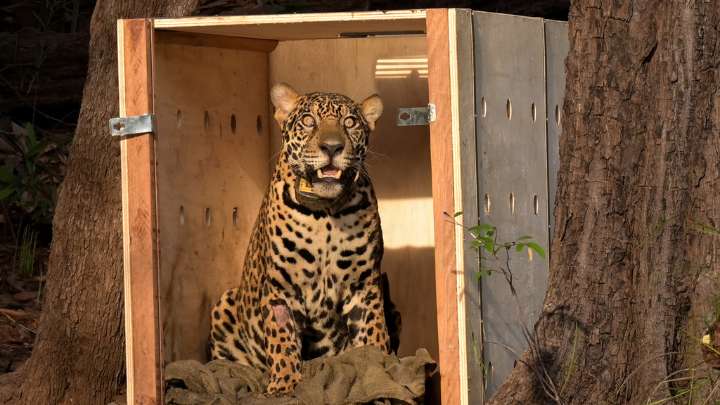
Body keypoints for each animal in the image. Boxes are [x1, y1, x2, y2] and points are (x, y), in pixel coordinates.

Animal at [209, 83, 400, 395]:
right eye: (309, 120)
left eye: (350, 122)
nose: (332, 147)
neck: (326, 216)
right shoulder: (280, 289)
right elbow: (283, 340)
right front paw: (283, 386)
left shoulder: (365, 284)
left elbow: (374, 335)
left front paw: (383, 374)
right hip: (225, 304)